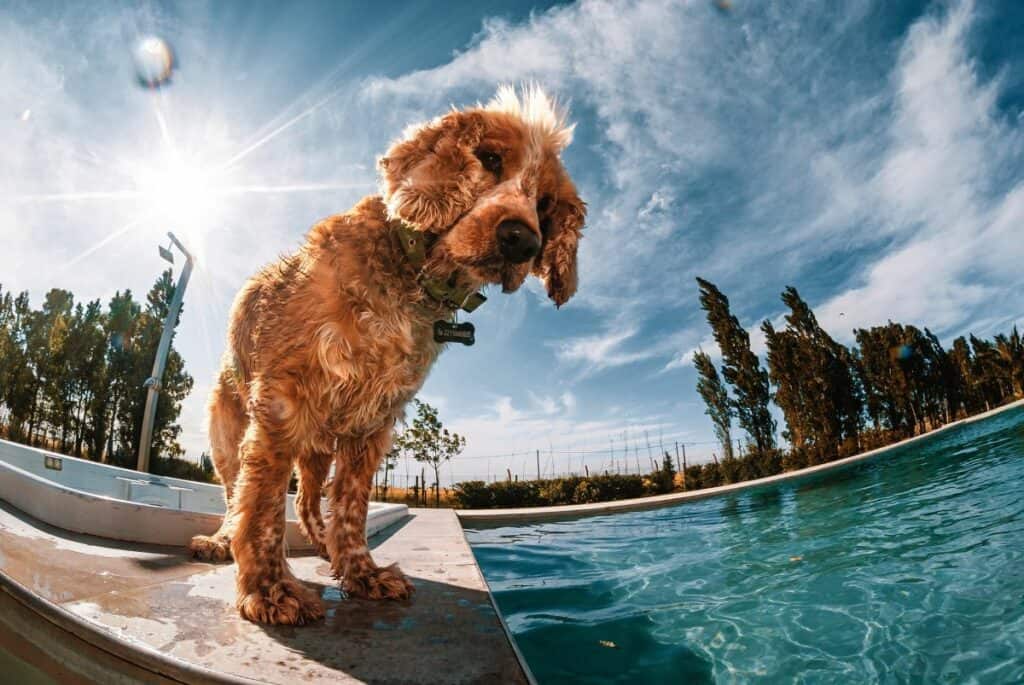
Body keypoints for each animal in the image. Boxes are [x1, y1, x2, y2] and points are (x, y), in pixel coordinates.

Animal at [186, 85, 585, 626]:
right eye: (489, 158)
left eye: (544, 204)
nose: (522, 240)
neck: (411, 279)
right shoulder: (282, 403)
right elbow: (263, 506)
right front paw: (270, 590)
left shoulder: (372, 421)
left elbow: (351, 508)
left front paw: (361, 573)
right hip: (229, 436)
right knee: (233, 498)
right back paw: (220, 541)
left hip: (317, 449)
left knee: (309, 502)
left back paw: (323, 548)